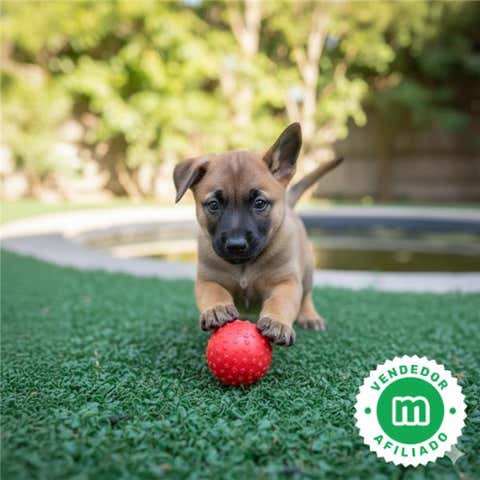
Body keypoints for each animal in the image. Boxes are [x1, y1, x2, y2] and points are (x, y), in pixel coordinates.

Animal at [173, 123, 342, 346]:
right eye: (214, 204)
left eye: (259, 203)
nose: (236, 246)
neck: (244, 266)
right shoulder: (207, 279)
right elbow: (214, 292)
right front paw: (217, 308)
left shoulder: (286, 282)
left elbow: (280, 302)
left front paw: (277, 322)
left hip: (307, 271)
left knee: (306, 296)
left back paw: (309, 316)